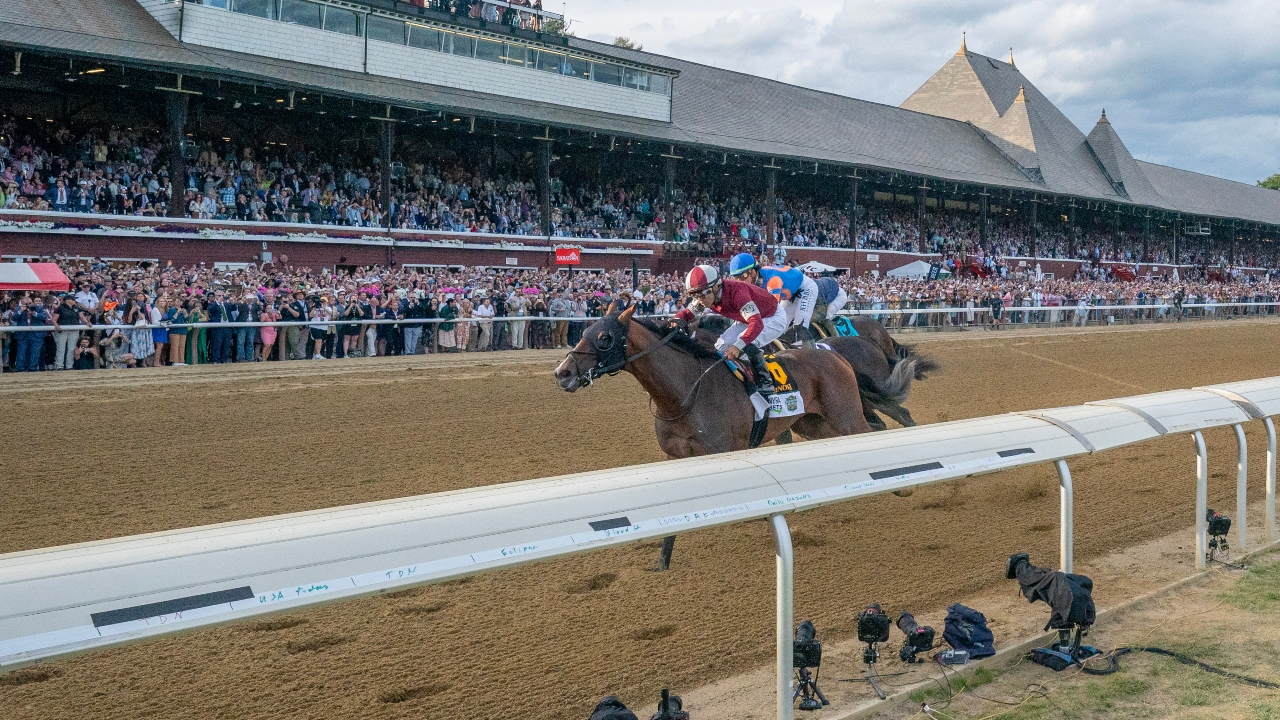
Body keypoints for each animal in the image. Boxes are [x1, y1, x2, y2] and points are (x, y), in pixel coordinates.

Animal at [555, 302, 875, 566]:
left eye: (604, 338)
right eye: (584, 331)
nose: (562, 373)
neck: (684, 395)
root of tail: (834, 354)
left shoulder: (725, 452)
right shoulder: (676, 456)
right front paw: (662, 562)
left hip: (845, 418)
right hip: (813, 424)